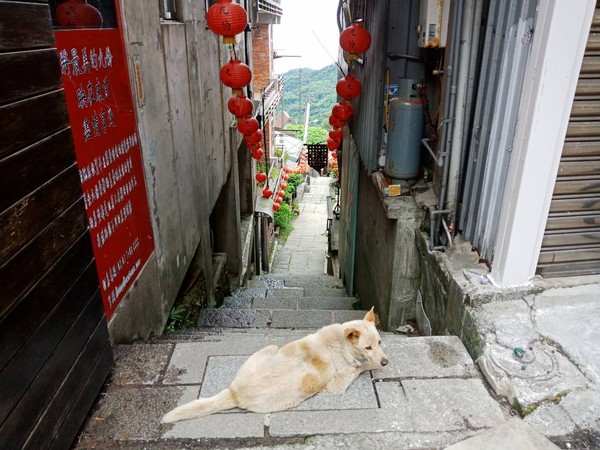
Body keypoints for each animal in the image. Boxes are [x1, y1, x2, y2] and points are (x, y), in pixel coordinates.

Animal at [162, 306, 390, 422]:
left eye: (380, 342)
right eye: (368, 347)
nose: (386, 362)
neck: (342, 341)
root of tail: (234, 392)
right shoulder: (338, 384)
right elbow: (361, 367)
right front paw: (370, 364)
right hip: (274, 357)